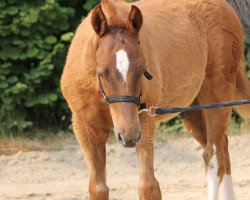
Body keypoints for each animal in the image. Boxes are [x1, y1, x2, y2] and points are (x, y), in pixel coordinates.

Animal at [61, 0, 250, 199]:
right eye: (101, 72)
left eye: (143, 68)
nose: (128, 136)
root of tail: (224, 7)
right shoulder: (85, 128)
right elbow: (98, 188)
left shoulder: (144, 121)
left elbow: (148, 185)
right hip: (191, 108)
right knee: (222, 147)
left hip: (217, 95)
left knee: (212, 156)